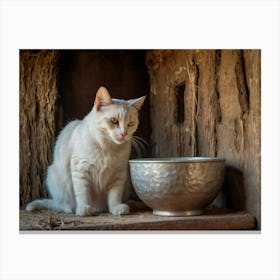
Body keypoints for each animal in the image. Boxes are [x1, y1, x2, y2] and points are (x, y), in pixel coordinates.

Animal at [25, 87, 145, 217]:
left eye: (130, 123)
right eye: (114, 121)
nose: (124, 134)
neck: (108, 148)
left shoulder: (118, 175)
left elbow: (115, 195)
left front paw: (116, 208)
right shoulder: (81, 169)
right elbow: (82, 192)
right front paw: (83, 208)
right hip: (54, 178)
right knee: (60, 204)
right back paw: (71, 208)